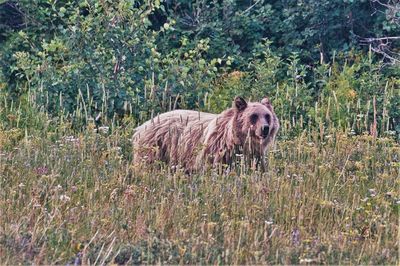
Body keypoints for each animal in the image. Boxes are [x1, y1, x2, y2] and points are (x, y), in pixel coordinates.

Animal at [133, 96, 280, 171]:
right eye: (254, 116)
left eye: (267, 116)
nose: (265, 128)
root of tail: (142, 125)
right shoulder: (218, 149)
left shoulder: (253, 154)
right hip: (156, 146)